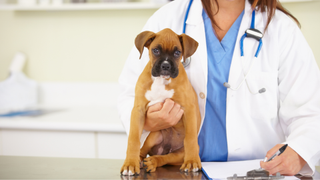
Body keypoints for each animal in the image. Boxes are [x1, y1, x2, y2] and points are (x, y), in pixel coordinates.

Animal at [121, 28, 201, 176]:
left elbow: (191, 138)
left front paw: (192, 161)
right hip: (153, 135)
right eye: (156, 50)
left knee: (166, 158)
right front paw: (130, 164)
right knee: (143, 151)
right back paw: (139, 161)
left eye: (177, 52)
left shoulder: (189, 109)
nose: (165, 66)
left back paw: (153, 162)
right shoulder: (138, 110)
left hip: (179, 155)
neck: (161, 81)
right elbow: (133, 139)